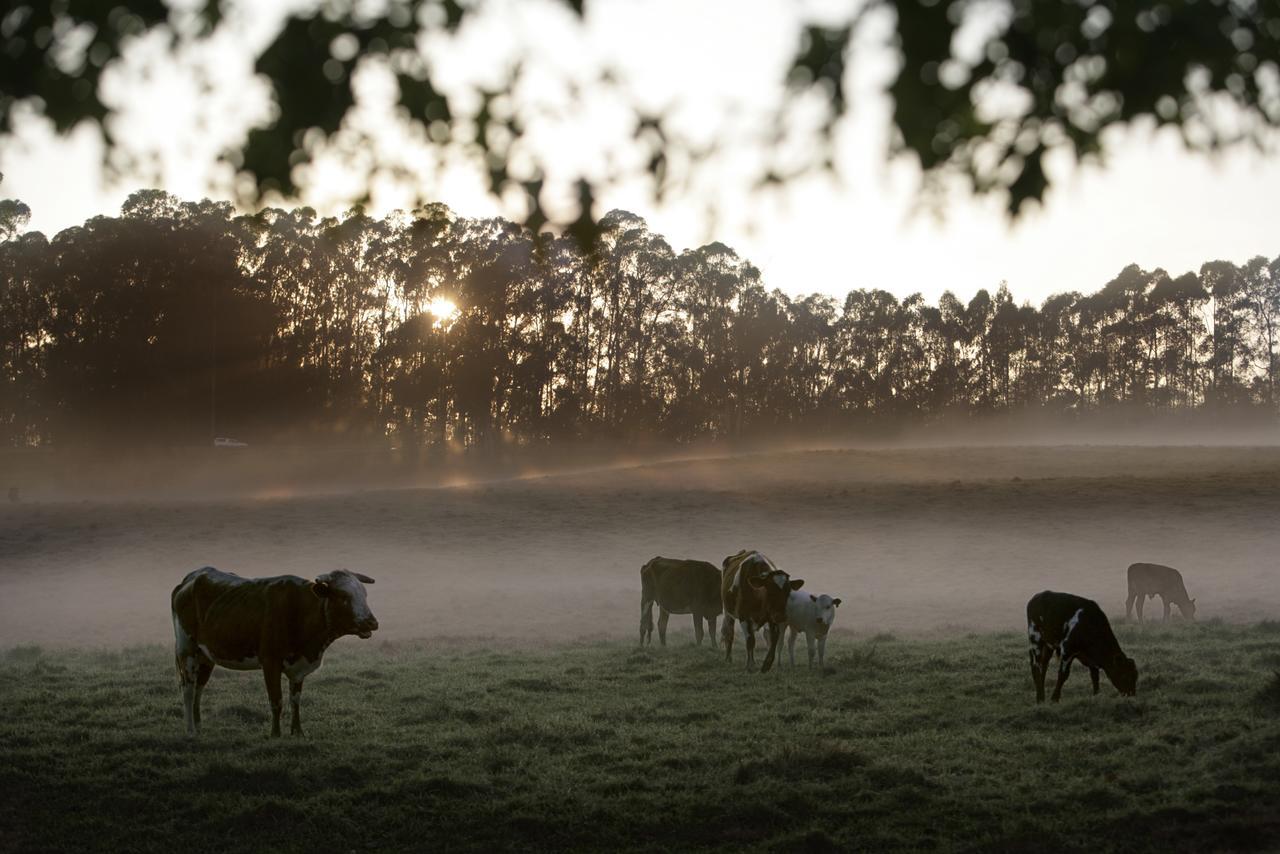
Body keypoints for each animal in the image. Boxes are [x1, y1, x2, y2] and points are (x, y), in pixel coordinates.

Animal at [168, 568, 373, 737]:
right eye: (343, 596)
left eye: (364, 595)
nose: (372, 622)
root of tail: (192, 577)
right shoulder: (270, 662)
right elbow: (277, 701)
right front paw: (275, 734)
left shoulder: (298, 669)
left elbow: (295, 700)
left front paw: (297, 732)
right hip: (186, 648)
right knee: (188, 688)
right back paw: (190, 730)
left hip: (206, 655)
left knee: (199, 688)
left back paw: (199, 726)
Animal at [721, 547, 798, 676]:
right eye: (770, 591)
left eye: (788, 591)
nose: (781, 616)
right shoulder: (744, 616)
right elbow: (750, 640)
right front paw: (750, 666)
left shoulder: (772, 617)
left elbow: (774, 639)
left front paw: (767, 664)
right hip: (728, 611)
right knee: (729, 633)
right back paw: (728, 658)